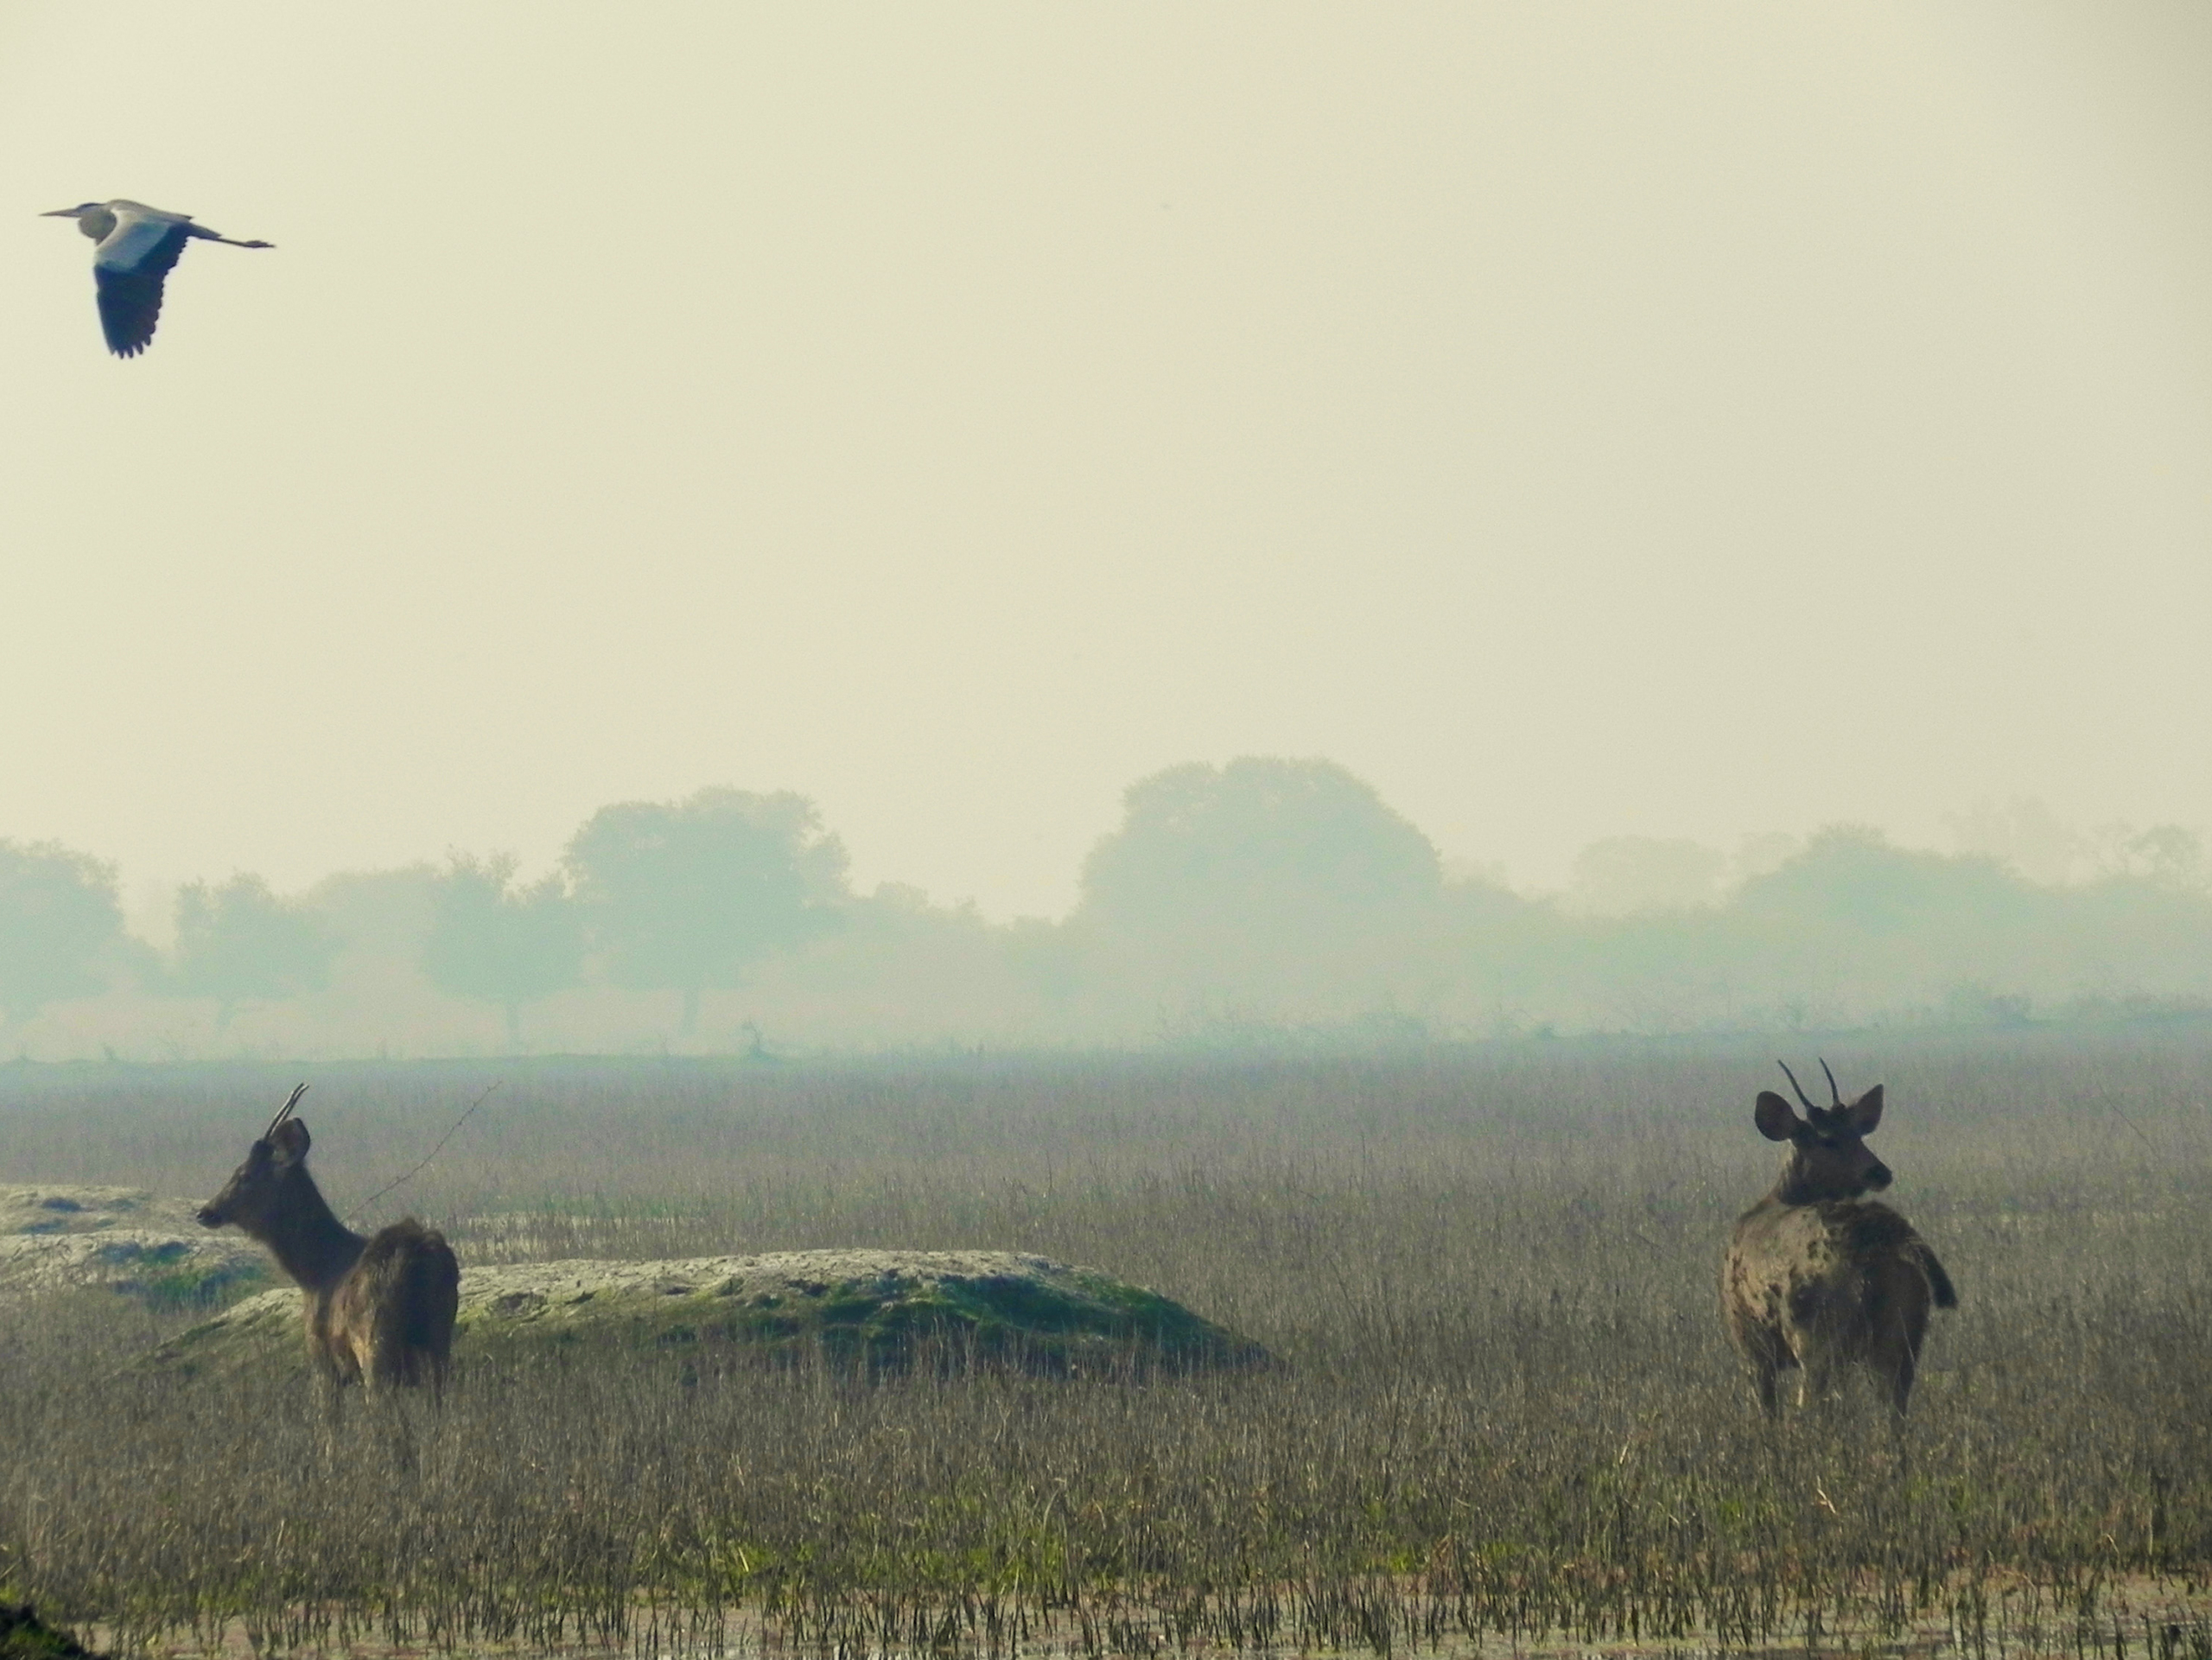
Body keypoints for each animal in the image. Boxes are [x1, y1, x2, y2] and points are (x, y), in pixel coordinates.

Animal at [199, 1093, 462, 1408]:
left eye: (244, 1175)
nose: (206, 1211)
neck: (314, 1273)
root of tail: (417, 1256)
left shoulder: (321, 1355)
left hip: (374, 1338)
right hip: (439, 1335)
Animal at [1716, 1066, 1964, 1416]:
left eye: (1859, 1134)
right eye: (1828, 1139)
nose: (1879, 1172)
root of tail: (1889, 1240)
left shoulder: (1749, 1338)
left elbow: (1767, 1411)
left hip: (1818, 1332)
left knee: (1814, 1404)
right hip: (1904, 1333)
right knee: (1894, 1407)